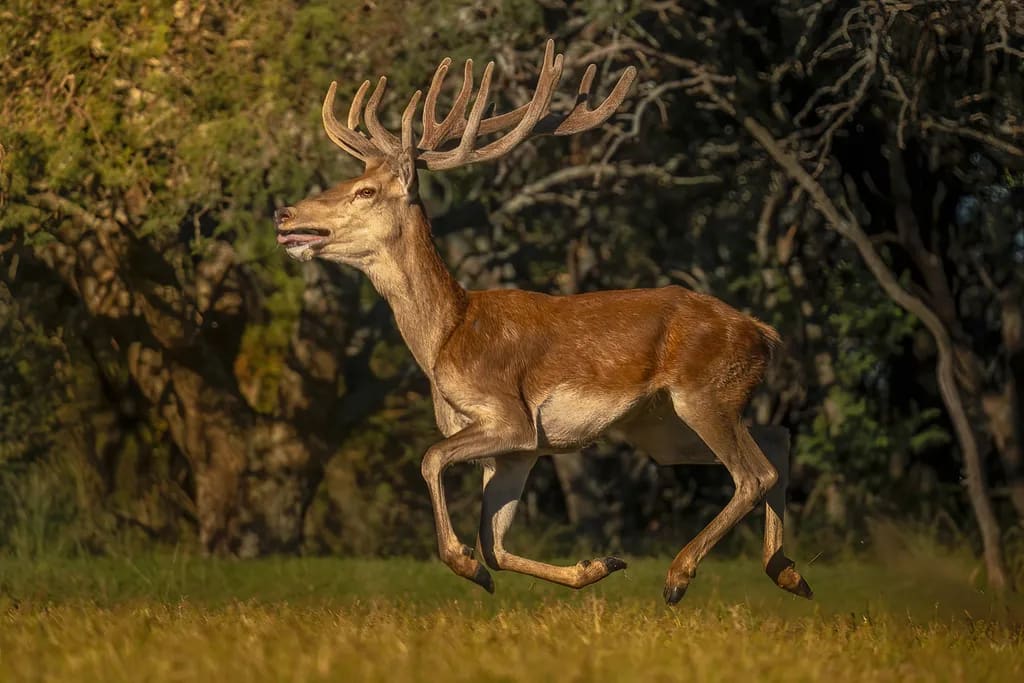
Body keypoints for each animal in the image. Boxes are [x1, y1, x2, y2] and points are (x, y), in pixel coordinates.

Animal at [275, 39, 813, 605]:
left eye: (366, 191)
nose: (284, 214)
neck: (446, 336)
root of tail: (765, 335)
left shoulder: (508, 416)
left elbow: (431, 461)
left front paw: (466, 564)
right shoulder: (522, 450)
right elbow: (494, 543)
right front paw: (597, 564)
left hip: (702, 393)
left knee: (754, 473)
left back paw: (679, 575)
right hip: (662, 426)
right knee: (776, 438)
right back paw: (787, 572)